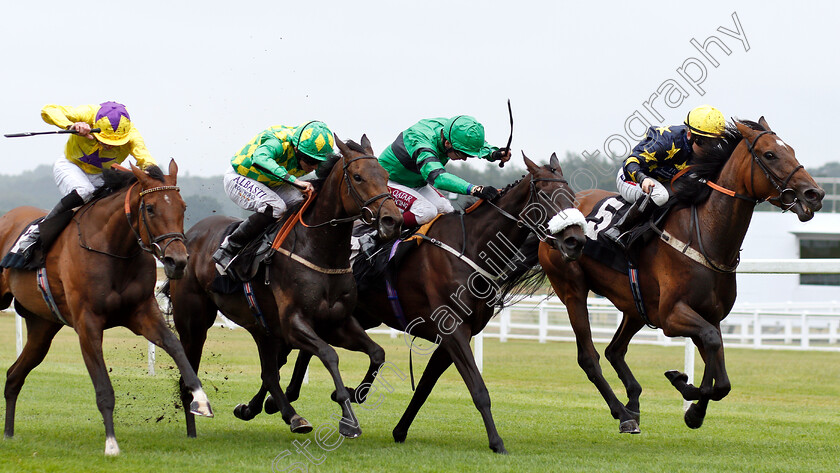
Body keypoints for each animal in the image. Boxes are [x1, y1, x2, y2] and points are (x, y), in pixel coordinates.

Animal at [1, 160, 212, 456]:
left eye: (182, 206)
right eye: (150, 208)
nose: (178, 261)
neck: (114, 250)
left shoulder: (142, 312)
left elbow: (175, 346)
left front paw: (200, 399)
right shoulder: (87, 324)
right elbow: (103, 388)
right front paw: (111, 443)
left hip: (42, 328)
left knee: (13, 376)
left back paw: (9, 433)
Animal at [166, 136, 402, 438]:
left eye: (385, 176)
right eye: (358, 177)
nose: (392, 221)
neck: (319, 250)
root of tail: (188, 236)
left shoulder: (338, 322)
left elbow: (377, 353)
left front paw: (355, 394)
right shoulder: (294, 323)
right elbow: (329, 354)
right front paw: (348, 418)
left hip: (261, 327)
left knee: (269, 373)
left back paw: (291, 416)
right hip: (194, 322)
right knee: (189, 375)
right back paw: (194, 429)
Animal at [278, 153, 588, 452]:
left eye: (572, 196)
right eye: (546, 195)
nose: (575, 241)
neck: (471, 247)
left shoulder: (453, 335)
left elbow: (425, 388)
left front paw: (399, 430)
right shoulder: (453, 329)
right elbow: (479, 389)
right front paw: (497, 442)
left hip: (356, 315)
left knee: (309, 349)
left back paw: (289, 395)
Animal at [540, 118, 824, 432]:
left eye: (792, 150)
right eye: (770, 154)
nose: (815, 194)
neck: (706, 238)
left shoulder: (710, 315)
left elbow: (722, 377)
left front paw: (693, 407)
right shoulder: (672, 315)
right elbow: (711, 345)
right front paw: (685, 387)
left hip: (635, 306)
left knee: (615, 350)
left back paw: (633, 403)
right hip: (573, 289)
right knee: (590, 358)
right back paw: (623, 414)